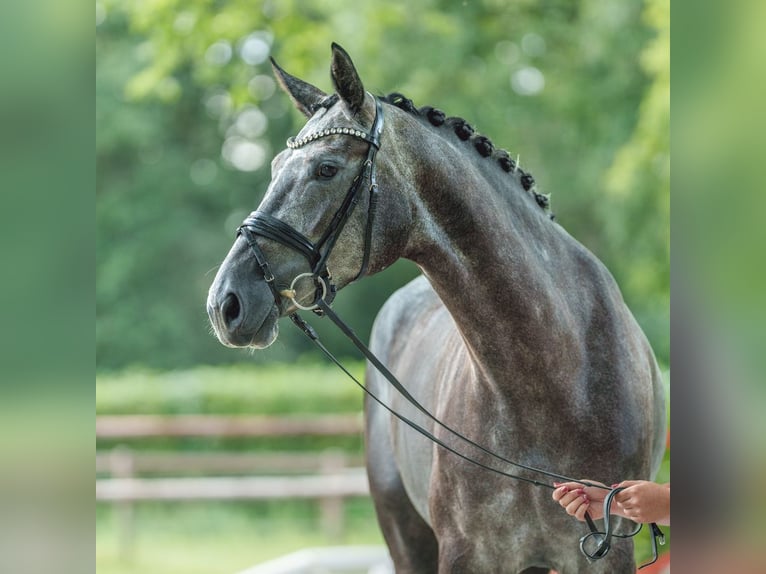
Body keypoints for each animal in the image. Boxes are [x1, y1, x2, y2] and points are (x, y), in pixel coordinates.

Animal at [208, 42, 664, 572]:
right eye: (275, 166)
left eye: (326, 169)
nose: (226, 303)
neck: (552, 379)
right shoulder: (464, 552)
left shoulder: (608, 552)